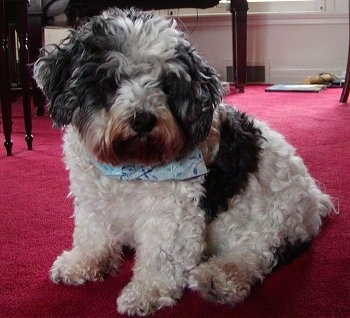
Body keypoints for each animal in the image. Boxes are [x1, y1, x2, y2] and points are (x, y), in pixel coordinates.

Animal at [33, 7, 334, 316]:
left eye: (167, 86)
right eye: (110, 80)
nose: (143, 119)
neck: (128, 165)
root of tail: (314, 198)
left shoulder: (171, 212)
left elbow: (161, 256)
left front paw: (146, 292)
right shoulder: (93, 200)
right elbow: (93, 234)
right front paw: (83, 262)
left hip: (269, 222)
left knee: (257, 253)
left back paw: (219, 277)